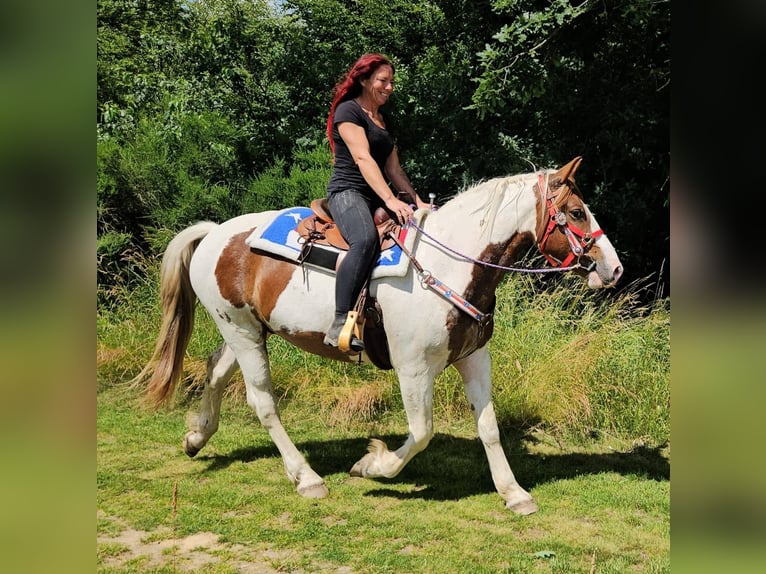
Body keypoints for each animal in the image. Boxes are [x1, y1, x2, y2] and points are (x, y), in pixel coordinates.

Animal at [134, 156, 623, 515]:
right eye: (576, 212)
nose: (614, 268)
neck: (451, 266)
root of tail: (215, 233)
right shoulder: (413, 368)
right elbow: (422, 432)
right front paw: (373, 465)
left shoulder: (474, 357)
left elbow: (488, 427)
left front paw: (514, 493)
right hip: (242, 331)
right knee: (263, 403)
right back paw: (307, 478)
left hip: (248, 329)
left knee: (216, 370)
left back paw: (197, 437)